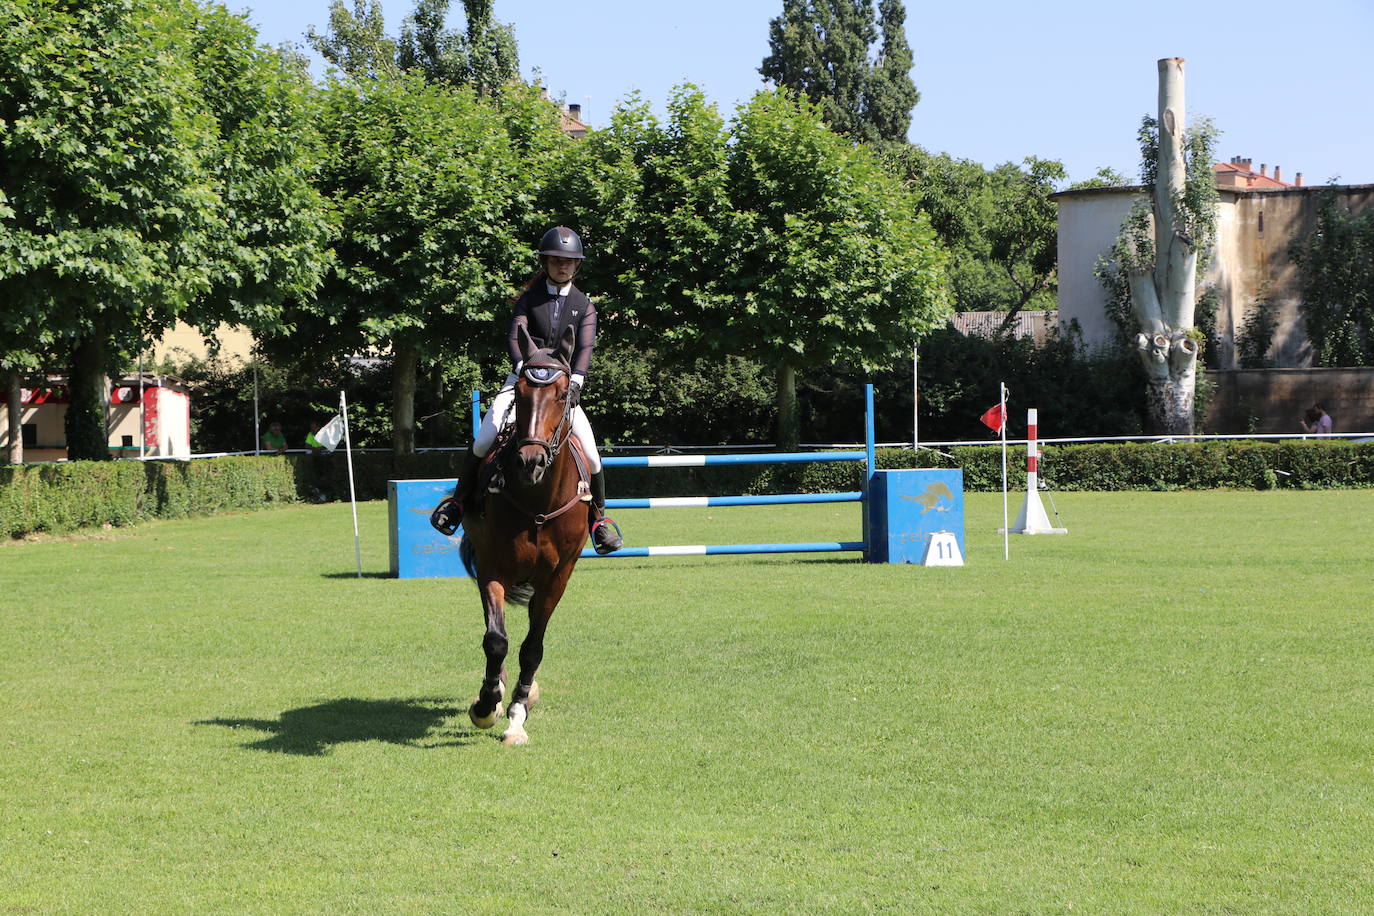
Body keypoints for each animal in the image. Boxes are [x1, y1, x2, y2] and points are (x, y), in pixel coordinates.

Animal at [461, 322, 590, 747]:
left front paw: (518, 713)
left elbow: (532, 648)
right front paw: (487, 705)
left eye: (564, 393)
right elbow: (496, 640)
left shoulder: (556, 578)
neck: (537, 500)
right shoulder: (492, 568)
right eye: (518, 393)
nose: (529, 462)